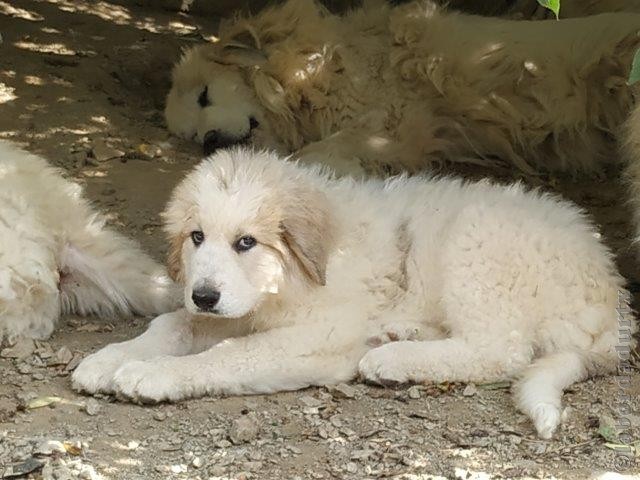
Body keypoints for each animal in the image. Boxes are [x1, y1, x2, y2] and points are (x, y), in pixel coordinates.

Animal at [72, 149, 632, 438]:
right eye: (196, 237)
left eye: (246, 242)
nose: (204, 295)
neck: (291, 279)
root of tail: (609, 292)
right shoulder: (234, 309)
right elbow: (173, 323)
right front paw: (107, 359)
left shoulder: (317, 337)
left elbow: (229, 355)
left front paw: (154, 374)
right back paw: (399, 333)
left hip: (474, 247)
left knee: (502, 350)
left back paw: (392, 358)